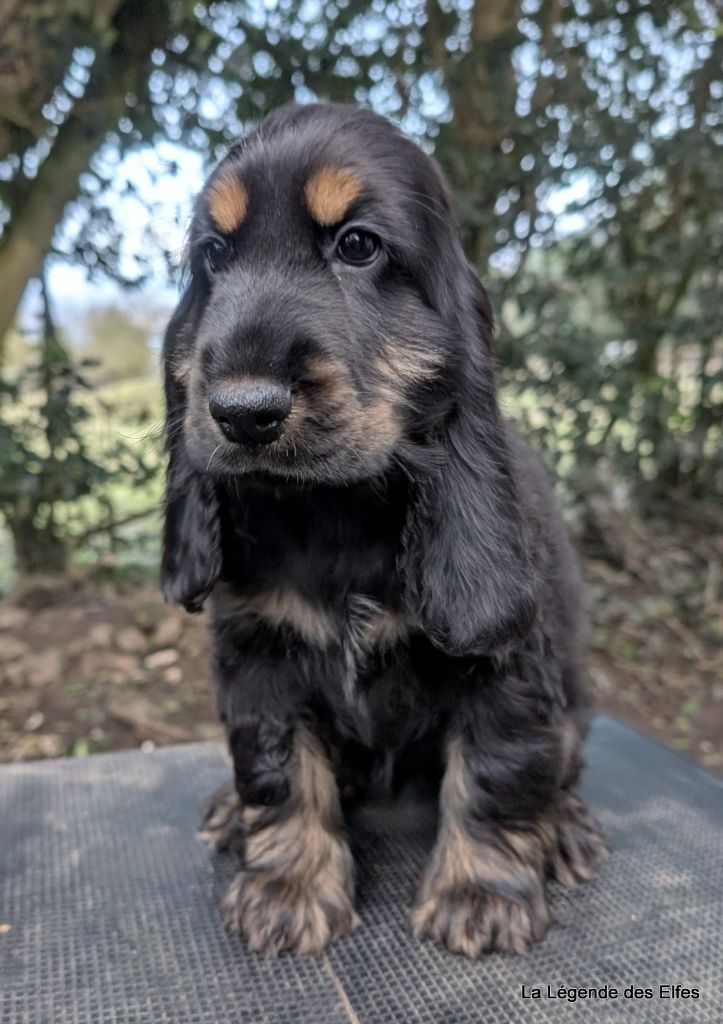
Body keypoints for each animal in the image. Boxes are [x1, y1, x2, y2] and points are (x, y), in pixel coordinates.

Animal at [161, 103, 602, 958]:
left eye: (357, 246)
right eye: (213, 255)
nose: (241, 412)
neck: (335, 509)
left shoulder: (507, 669)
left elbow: (497, 770)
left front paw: (479, 893)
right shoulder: (259, 655)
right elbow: (277, 766)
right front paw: (287, 887)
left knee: (559, 762)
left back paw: (563, 827)